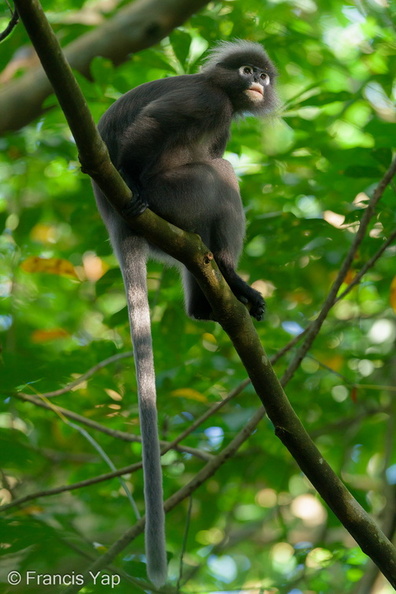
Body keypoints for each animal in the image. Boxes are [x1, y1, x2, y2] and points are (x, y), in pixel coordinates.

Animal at [93, 39, 278, 584]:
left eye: (263, 74)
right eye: (247, 70)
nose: (256, 80)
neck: (224, 92)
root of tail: (120, 227)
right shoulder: (206, 102)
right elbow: (146, 134)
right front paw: (131, 178)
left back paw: (209, 305)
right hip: (174, 199)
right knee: (221, 174)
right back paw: (231, 279)